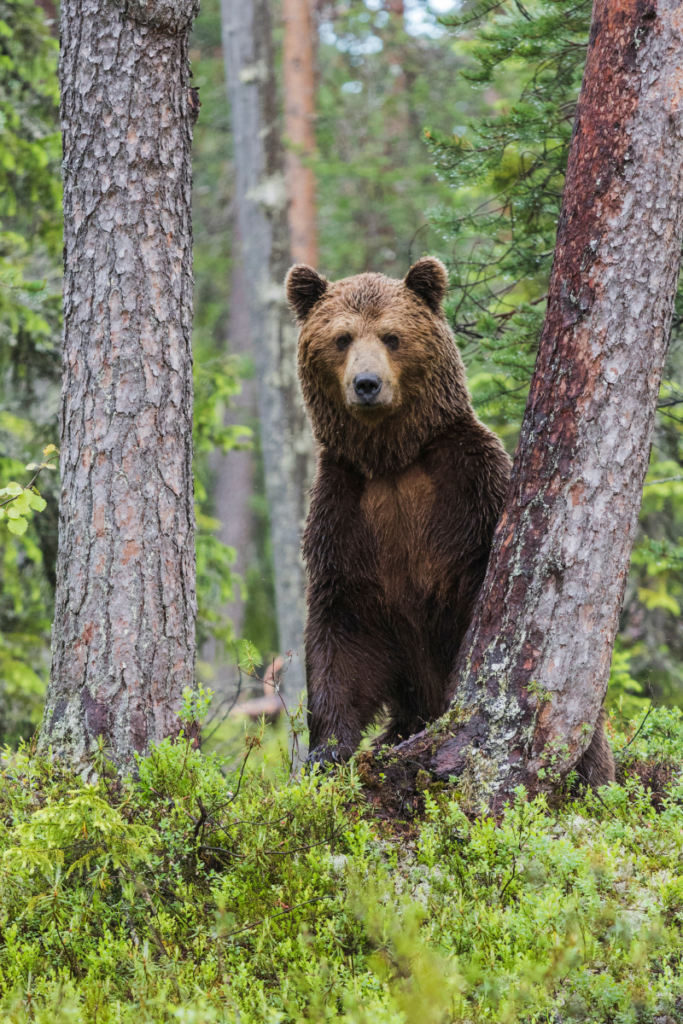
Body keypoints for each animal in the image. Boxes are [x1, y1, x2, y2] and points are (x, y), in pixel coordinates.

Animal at [286, 253, 618, 782]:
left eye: (391, 336)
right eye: (341, 338)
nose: (366, 384)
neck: (393, 461)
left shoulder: (469, 492)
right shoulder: (348, 514)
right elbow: (345, 631)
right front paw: (327, 751)